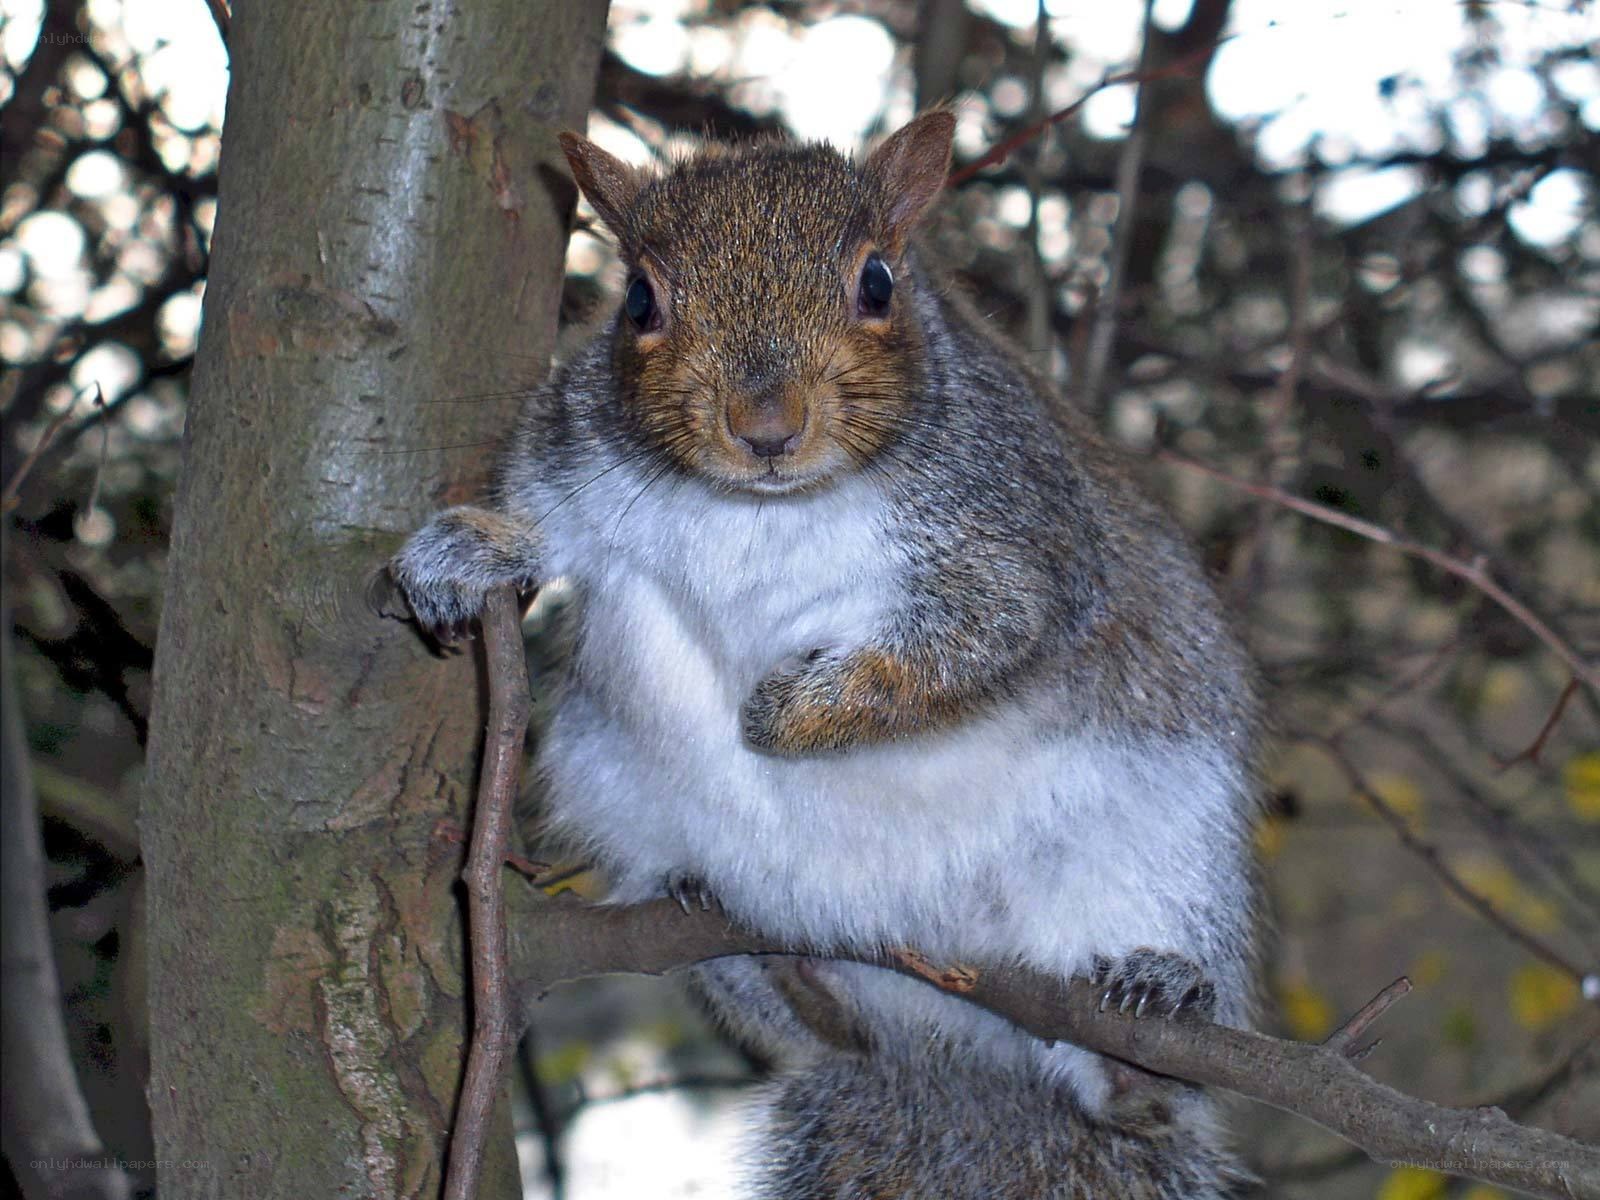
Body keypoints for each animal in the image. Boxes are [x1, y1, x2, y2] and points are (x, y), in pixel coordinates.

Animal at [391, 111, 1264, 1199]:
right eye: (638, 301)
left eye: (878, 283)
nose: (765, 428)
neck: (764, 509)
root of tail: (955, 1041)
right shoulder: (569, 465)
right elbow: (540, 529)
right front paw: (465, 553)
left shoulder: (1019, 540)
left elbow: (977, 639)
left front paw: (785, 711)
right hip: (626, 808)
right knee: (825, 1025)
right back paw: (773, 961)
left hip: (1162, 852)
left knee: (1140, 1090)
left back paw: (1148, 1019)